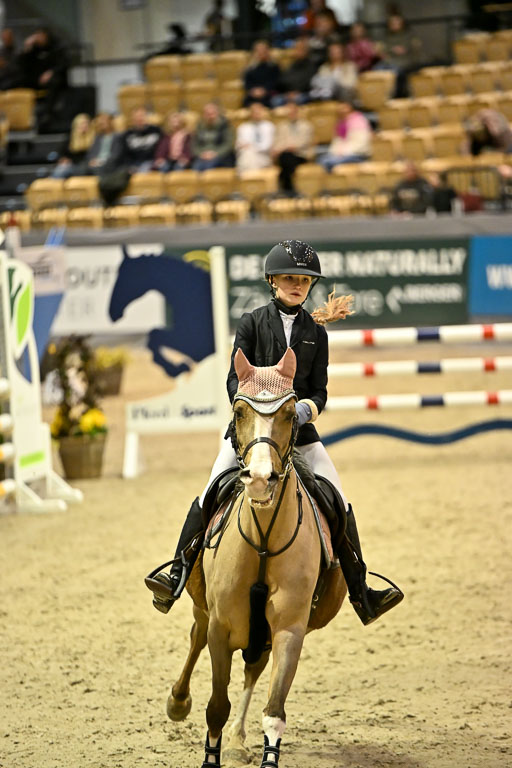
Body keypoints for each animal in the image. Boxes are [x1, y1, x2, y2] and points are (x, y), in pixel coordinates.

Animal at [108, 246, 215, 378]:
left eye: (127, 276)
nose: (111, 312)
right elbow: (153, 336)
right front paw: (178, 368)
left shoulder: (197, 344)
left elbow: (154, 335)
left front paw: (176, 368)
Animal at [167, 347, 346, 767]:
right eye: (238, 412)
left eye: (291, 413)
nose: (261, 479)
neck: (263, 540)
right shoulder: (221, 627)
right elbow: (216, 705)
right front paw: (210, 755)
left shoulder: (287, 630)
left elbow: (274, 712)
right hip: (204, 608)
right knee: (196, 637)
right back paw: (178, 702)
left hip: (260, 634)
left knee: (253, 669)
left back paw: (236, 738)